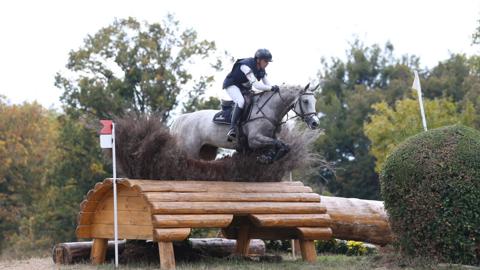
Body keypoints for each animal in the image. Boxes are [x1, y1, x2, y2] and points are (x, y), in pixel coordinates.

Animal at [171, 84, 320, 162]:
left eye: (315, 101)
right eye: (305, 101)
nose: (315, 123)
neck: (269, 109)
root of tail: (183, 118)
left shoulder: (268, 138)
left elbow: (283, 145)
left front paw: (268, 157)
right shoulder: (254, 139)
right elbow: (279, 144)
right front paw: (268, 158)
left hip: (207, 151)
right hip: (190, 150)